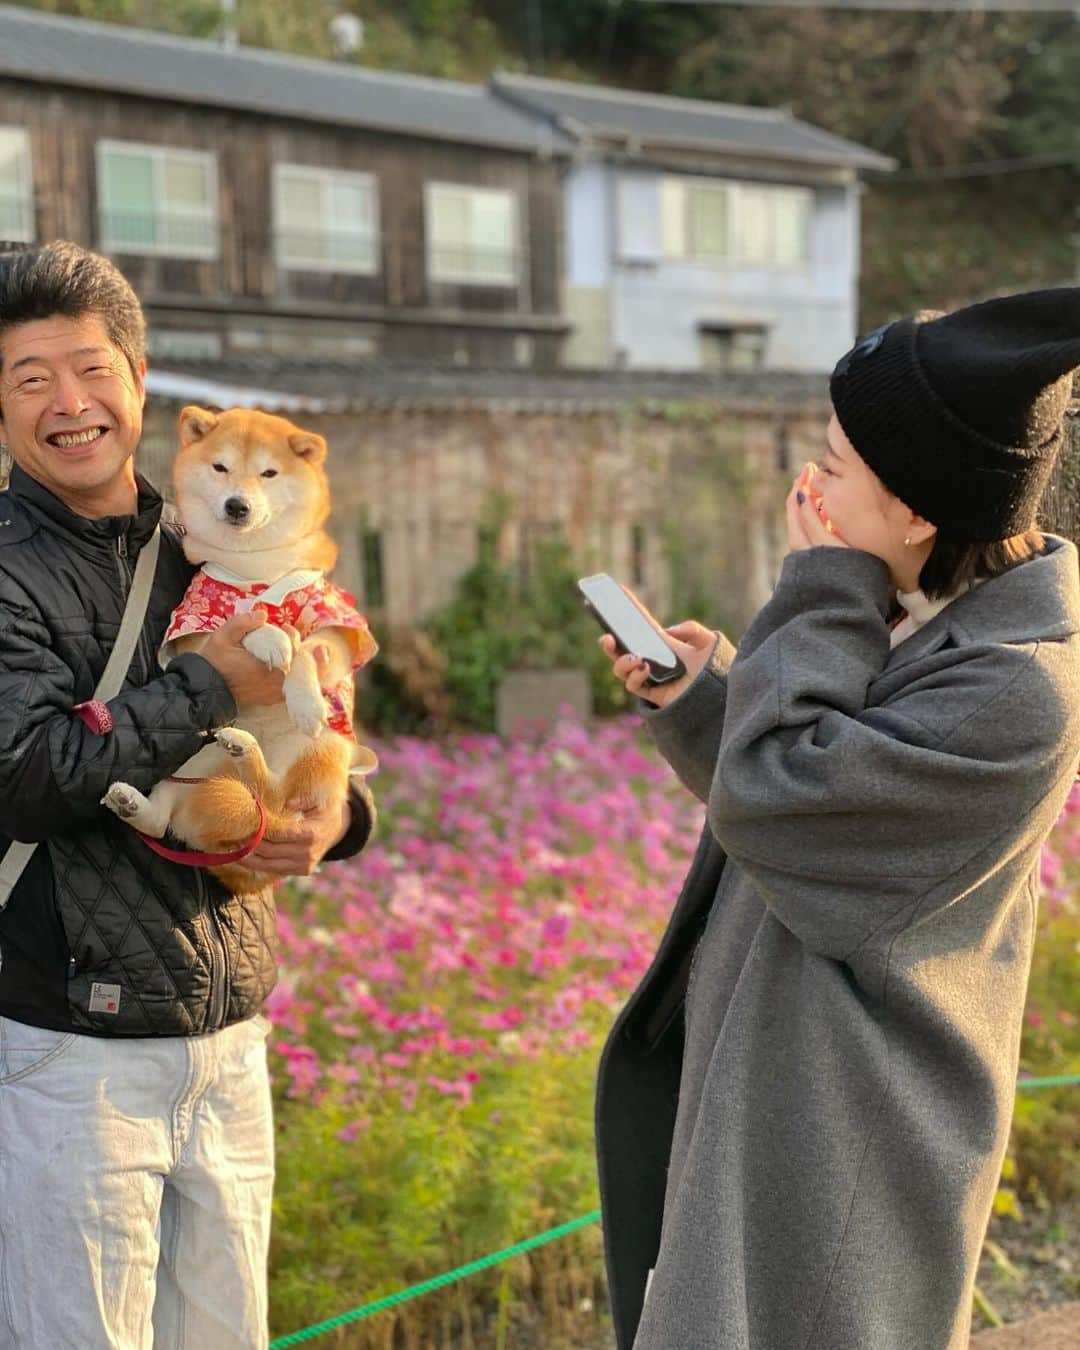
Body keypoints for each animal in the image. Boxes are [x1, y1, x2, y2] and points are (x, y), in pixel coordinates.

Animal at [102, 410, 380, 896]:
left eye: (268, 473)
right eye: (221, 468)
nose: (237, 505)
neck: (255, 571)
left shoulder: (334, 629)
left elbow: (307, 651)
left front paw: (304, 697)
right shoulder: (193, 629)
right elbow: (248, 629)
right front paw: (268, 637)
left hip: (320, 746)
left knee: (270, 795)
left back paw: (248, 751)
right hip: (191, 756)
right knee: (181, 816)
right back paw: (137, 801)